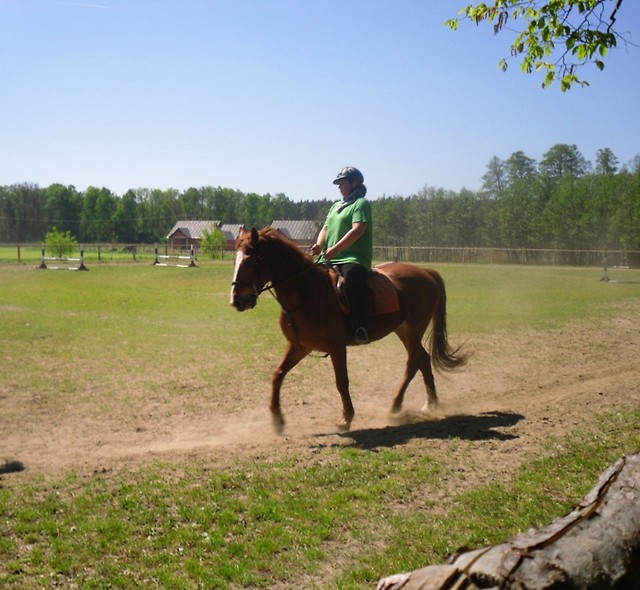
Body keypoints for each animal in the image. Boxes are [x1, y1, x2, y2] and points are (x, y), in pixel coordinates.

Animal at [230, 227, 464, 434]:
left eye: (252, 260)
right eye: (236, 260)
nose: (237, 300)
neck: (307, 292)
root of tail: (425, 272)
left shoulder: (336, 347)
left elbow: (341, 381)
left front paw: (346, 419)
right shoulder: (300, 346)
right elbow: (277, 374)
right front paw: (277, 421)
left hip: (415, 328)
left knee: (413, 363)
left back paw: (396, 405)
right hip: (403, 329)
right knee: (423, 359)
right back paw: (430, 403)